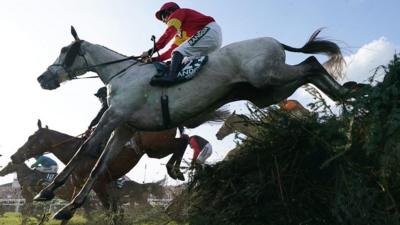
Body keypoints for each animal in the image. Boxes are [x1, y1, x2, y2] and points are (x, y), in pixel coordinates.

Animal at [36, 25, 352, 220]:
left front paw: (48, 191)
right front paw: (68, 209)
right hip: (268, 91)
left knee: (311, 63)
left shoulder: (113, 117)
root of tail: (274, 40)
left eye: (64, 51)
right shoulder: (124, 127)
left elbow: (86, 150)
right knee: (310, 71)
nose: (43, 78)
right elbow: (99, 165)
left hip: (268, 77)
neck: (122, 74)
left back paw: (347, 95)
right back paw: (346, 95)